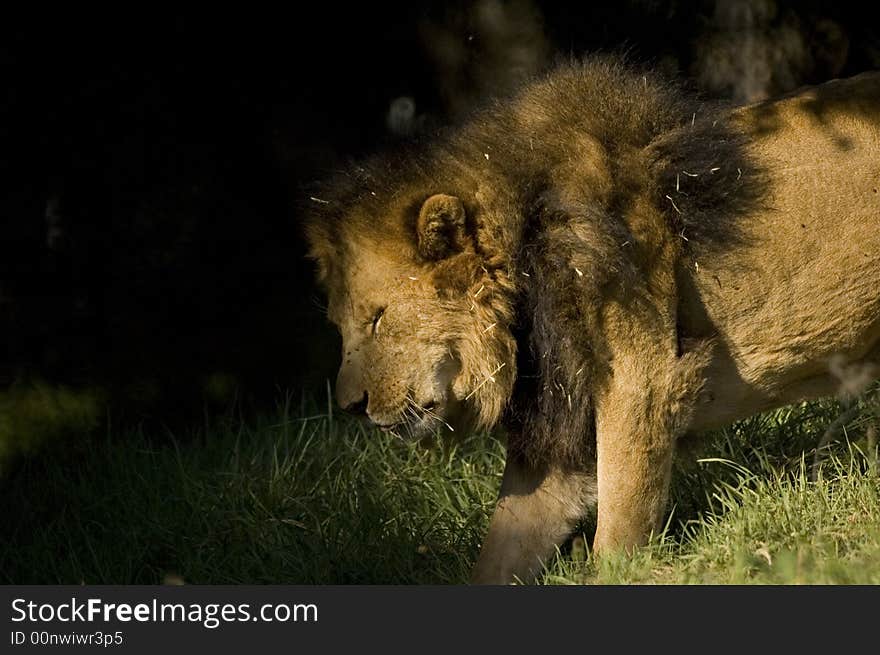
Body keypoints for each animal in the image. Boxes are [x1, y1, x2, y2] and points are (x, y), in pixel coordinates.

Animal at [304, 59, 880, 588]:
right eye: (341, 327)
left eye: (378, 319)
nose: (349, 407)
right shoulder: (565, 425)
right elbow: (501, 549)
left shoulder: (641, 382)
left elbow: (617, 529)